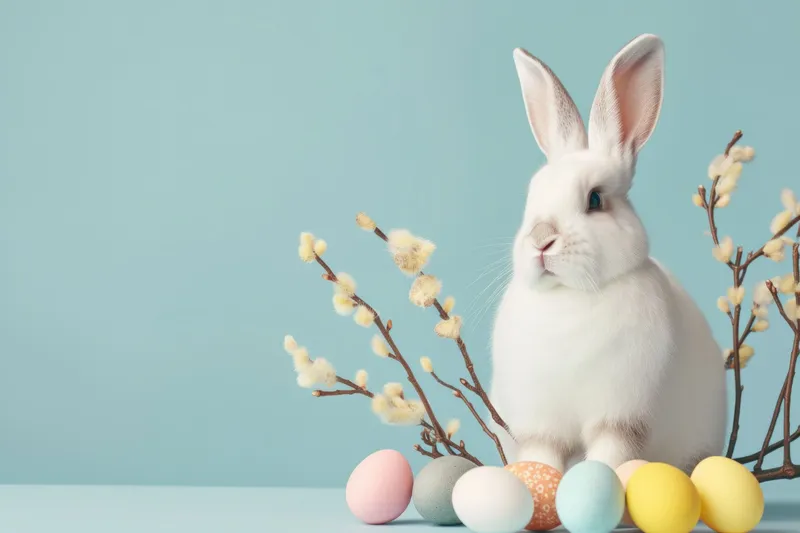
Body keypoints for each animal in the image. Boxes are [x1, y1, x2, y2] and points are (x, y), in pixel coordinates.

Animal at [488, 34, 728, 475]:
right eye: (532, 197)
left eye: (595, 200)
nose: (541, 239)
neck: (570, 297)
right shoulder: (540, 427)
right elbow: (540, 458)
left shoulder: (622, 419)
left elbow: (608, 458)